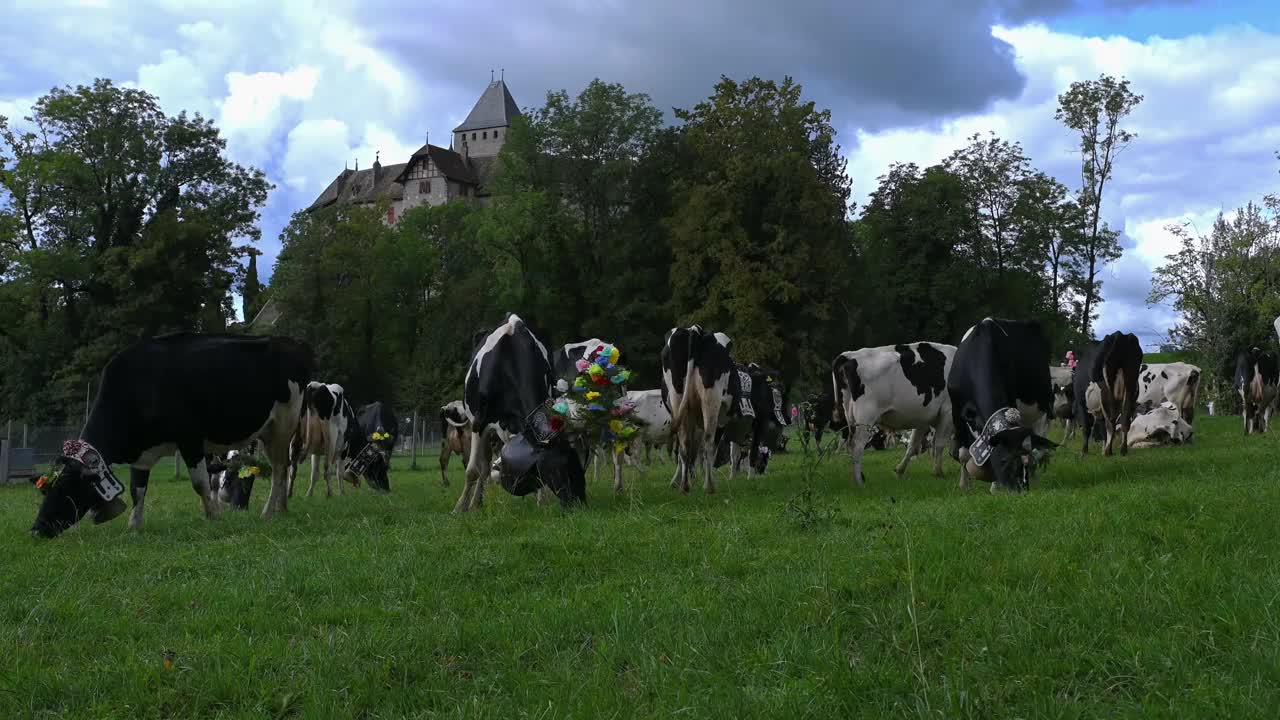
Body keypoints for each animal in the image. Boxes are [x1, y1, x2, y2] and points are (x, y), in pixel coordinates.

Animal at [28, 333, 309, 535]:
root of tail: (288, 342)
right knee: (283, 468)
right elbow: (137, 489)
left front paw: (213, 517)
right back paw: (282, 510)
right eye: (45, 489)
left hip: (282, 426)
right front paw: (134, 525)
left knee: (280, 470)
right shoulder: (141, 456)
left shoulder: (191, 440)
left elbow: (199, 483)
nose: (36, 529)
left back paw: (268, 513)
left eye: (66, 486)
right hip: (269, 432)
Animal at [455, 312, 586, 509]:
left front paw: (543, 503)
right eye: (557, 468)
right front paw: (460, 507)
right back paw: (475, 503)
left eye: (575, 460)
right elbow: (472, 470)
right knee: (484, 468)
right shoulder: (478, 422)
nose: (579, 502)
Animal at [660, 325, 732, 491]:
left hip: (680, 398)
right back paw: (705, 485)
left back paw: (689, 486)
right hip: (710, 400)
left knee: (688, 443)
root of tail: (694, 329)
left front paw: (680, 480)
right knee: (706, 442)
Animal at [834, 340, 957, 481]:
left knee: (849, 443)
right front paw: (938, 472)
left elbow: (913, 445)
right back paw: (859, 481)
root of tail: (850, 355)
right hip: (865, 418)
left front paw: (900, 470)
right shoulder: (948, 412)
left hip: (850, 417)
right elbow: (939, 444)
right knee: (857, 446)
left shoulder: (923, 418)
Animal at [947, 316, 1054, 489]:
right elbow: (963, 453)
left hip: (1043, 410)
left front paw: (994, 487)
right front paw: (964, 486)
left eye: (1020, 461)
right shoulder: (956, 408)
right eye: (1004, 460)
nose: (1021, 489)